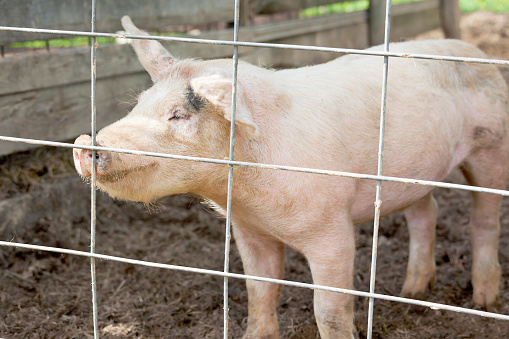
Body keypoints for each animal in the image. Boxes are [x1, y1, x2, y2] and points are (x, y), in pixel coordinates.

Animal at [73, 15, 508, 339]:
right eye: (139, 105)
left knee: (484, 220)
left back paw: (484, 301)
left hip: (491, 148)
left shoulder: (333, 231)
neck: (248, 196)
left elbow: (329, 310)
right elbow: (260, 290)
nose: (84, 143)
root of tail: (473, 50)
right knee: (425, 213)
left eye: (178, 115)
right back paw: (412, 290)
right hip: (414, 173)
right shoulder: (248, 231)